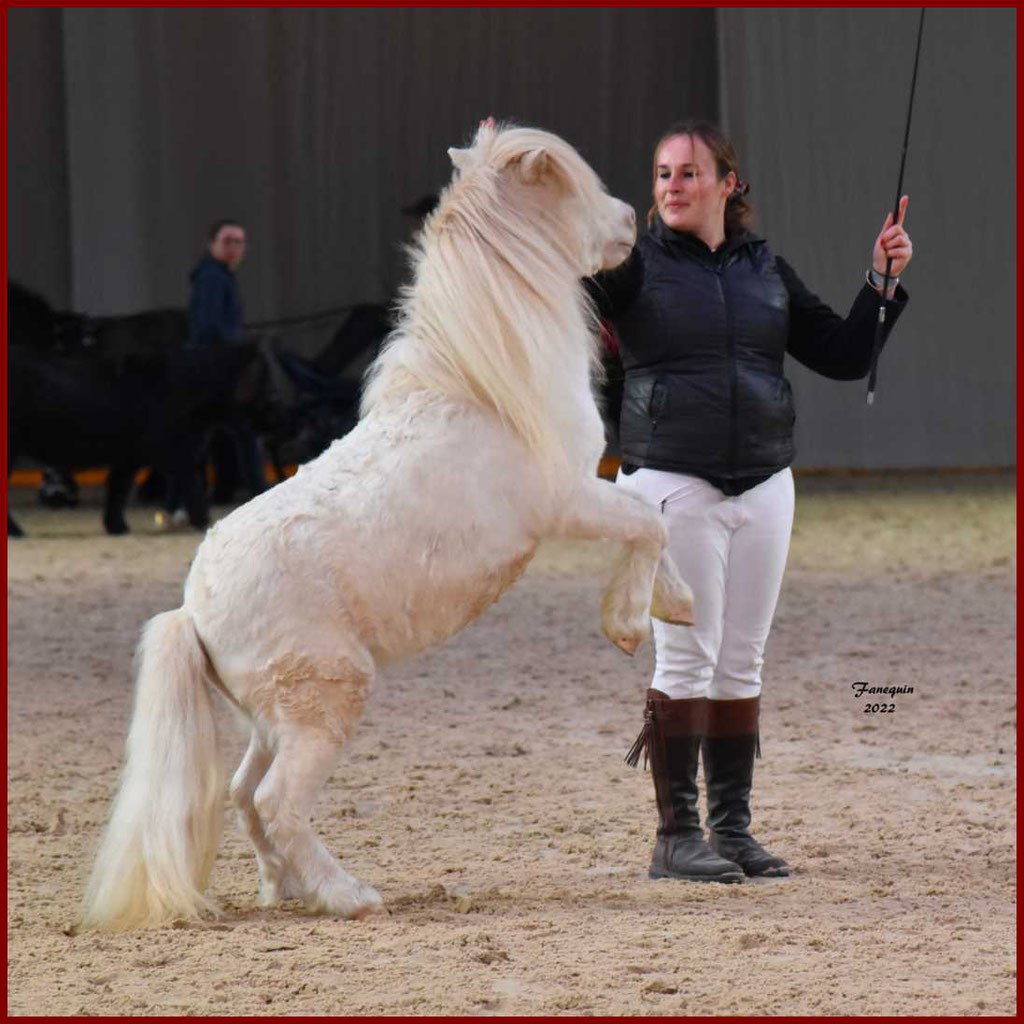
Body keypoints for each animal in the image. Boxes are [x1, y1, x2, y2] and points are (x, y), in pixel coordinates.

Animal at [81, 119, 696, 929]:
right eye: (574, 187)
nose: (632, 223)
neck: (482, 384)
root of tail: (194, 611)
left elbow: (655, 524)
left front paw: (678, 605)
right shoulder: (570, 500)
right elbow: (646, 525)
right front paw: (627, 623)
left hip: (272, 721)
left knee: (244, 796)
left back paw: (283, 888)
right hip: (323, 707)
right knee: (275, 802)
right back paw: (346, 894)